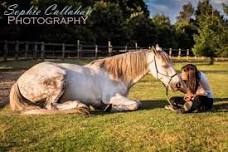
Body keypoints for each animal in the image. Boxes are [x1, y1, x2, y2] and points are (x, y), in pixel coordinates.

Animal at [9, 45, 185, 114]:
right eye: (164, 65)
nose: (178, 84)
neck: (116, 75)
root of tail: (19, 80)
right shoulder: (113, 97)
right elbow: (136, 103)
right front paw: (111, 108)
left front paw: (104, 107)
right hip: (59, 78)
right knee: (50, 106)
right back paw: (80, 106)